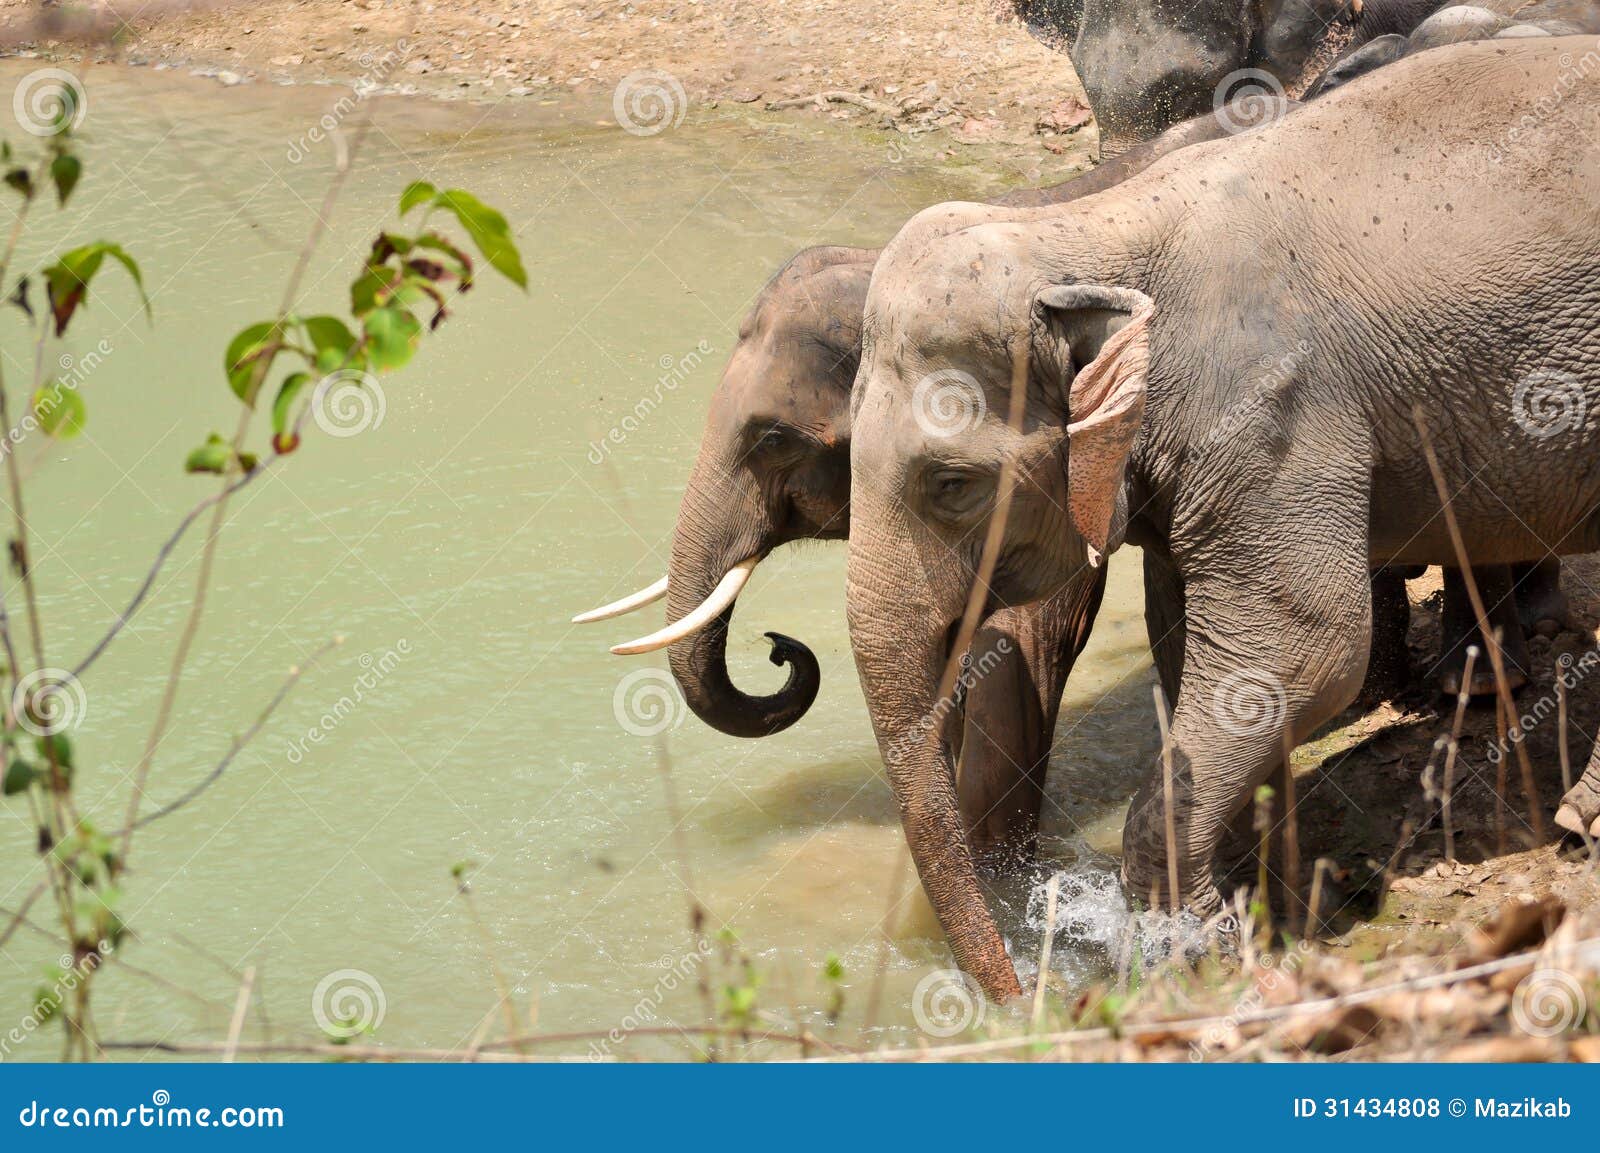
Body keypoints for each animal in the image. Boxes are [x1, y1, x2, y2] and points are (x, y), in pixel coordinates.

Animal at [844, 38, 1600, 998]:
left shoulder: (1272, 415)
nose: (1018, 992)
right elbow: (1193, 646)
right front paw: (1257, 895)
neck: (1096, 228)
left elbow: (1309, 646)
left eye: (950, 483)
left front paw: (1189, 948)